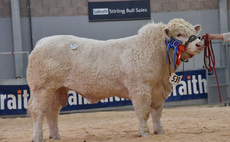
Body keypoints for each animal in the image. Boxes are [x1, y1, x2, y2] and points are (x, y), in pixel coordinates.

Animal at [27, 18, 205, 141]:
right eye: (179, 34)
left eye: (193, 32)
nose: (199, 44)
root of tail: (42, 42)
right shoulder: (140, 89)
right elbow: (143, 112)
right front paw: (145, 133)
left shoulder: (158, 91)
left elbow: (157, 113)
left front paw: (160, 131)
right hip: (42, 88)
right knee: (38, 112)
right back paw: (38, 137)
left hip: (57, 90)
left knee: (52, 112)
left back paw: (56, 136)